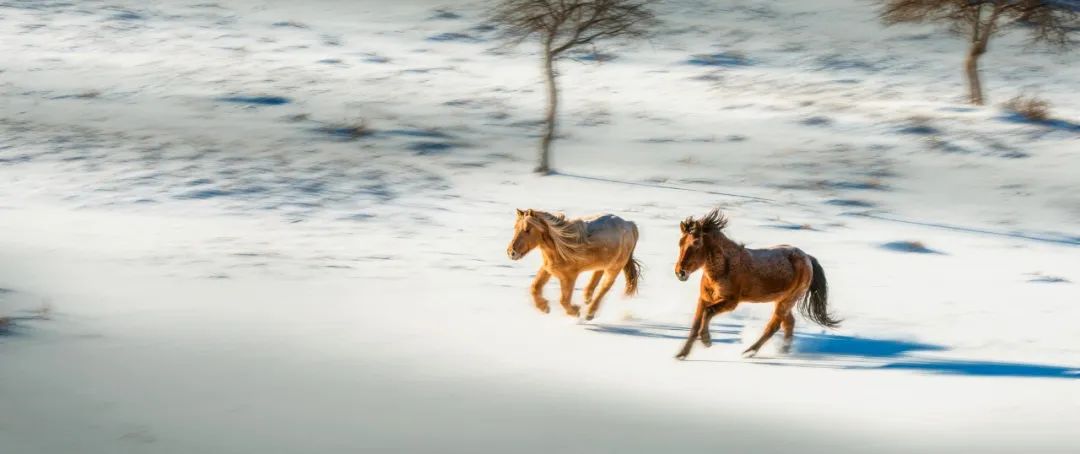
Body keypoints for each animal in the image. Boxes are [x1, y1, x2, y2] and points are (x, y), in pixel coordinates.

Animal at [505, 209, 639, 319]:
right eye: (515, 228)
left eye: (527, 230)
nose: (511, 252)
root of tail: (630, 224)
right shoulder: (548, 269)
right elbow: (534, 287)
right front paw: (544, 307)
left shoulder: (569, 276)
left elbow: (563, 300)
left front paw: (576, 311)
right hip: (605, 261)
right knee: (597, 274)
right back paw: (587, 298)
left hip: (614, 268)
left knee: (604, 287)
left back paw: (589, 313)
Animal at [669, 207, 838, 361]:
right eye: (680, 243)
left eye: (696, 243)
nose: (680, 272)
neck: (724, 267)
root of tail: (807, 258)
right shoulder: (704, 299)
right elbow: (696, 324)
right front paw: (682, 354)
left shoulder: (730, 302)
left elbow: (708, 313)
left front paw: (706, 341)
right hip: (782, 300)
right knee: (788, 323)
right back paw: (783, 351)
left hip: (787, 301)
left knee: (773, 326)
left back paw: (749, 351)